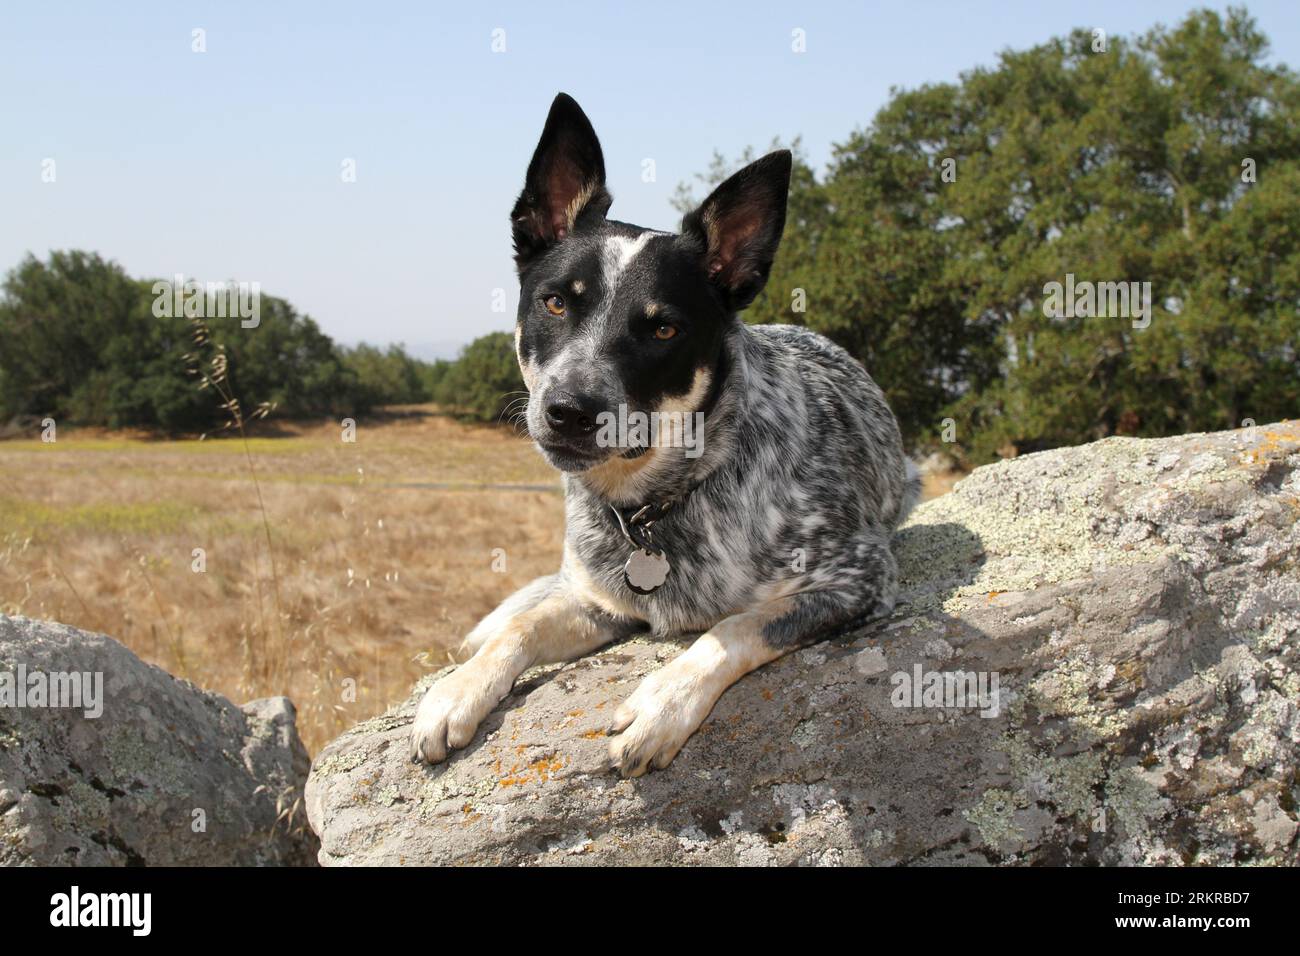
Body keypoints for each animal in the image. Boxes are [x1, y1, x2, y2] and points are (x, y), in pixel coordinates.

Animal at [410, 91, 920, 780]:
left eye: (662, 330)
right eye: (554, 303)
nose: (570, 411)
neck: (654, 505)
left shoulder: (856, 575)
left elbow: (736, 627)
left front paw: (662, 702)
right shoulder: (597, 600)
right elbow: (523, 628)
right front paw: (459, 690)